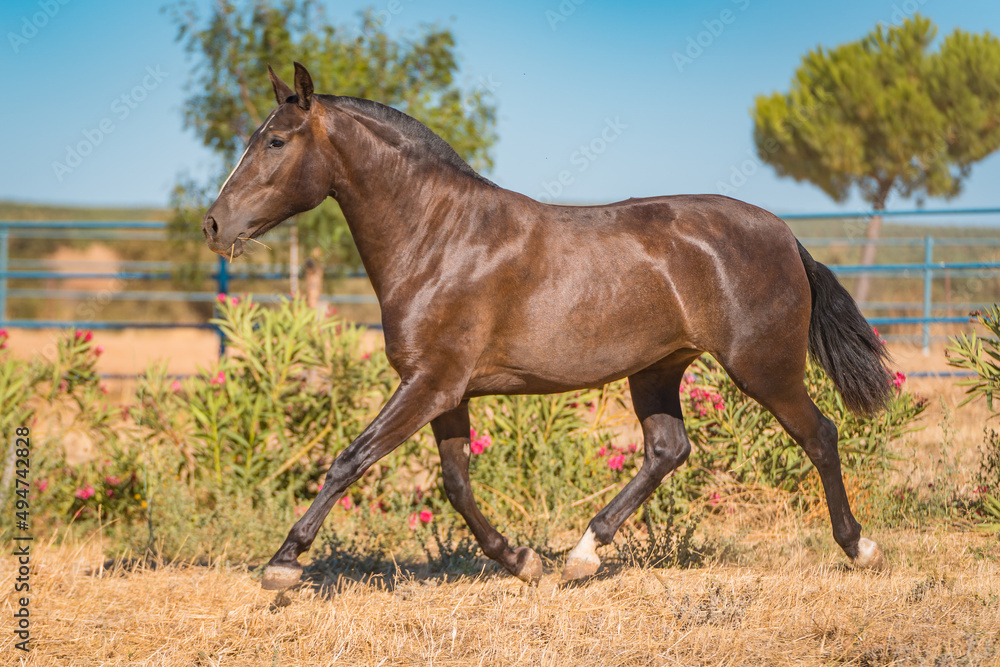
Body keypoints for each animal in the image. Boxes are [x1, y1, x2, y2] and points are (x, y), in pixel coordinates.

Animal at [201, 63, 893, 590]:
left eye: (275, 142)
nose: (212, 224)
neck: (438, 239)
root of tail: (783, 233)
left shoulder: (428, 385)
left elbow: (350, 459)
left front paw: (283, 563)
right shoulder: (446, 391)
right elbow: (456, 484)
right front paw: (522, 560)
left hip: (763, 367)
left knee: (820, 435)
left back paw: (860, 548)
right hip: (656, 370)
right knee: (667, 450)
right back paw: (582, 554)